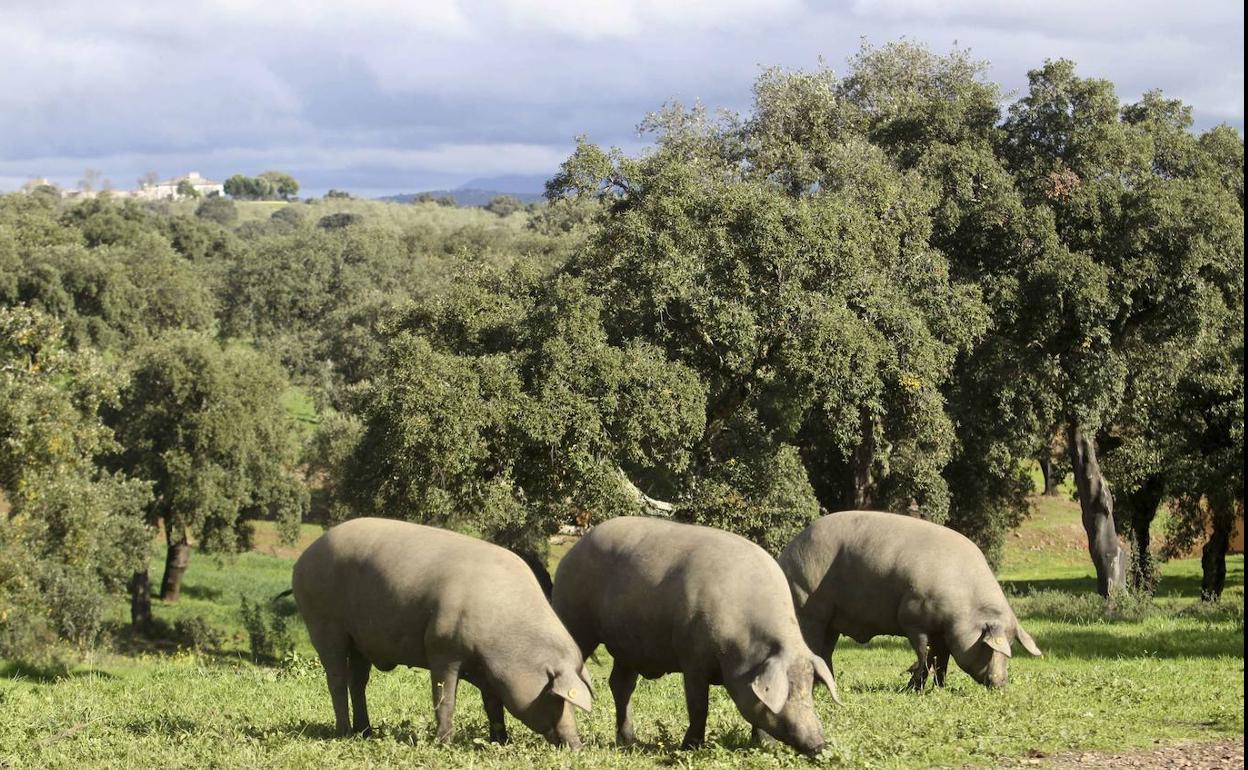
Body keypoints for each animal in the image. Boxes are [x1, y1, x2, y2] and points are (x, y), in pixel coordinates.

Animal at [289, 516, 591, 743]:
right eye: (554, 695)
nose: (576, 745)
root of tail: (302, 559)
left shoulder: (489, 671)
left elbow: (493, 704)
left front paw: (501, 741)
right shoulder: (442, 647)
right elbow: (445, 698)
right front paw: (443, 743)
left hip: (359, 639)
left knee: (358, 681)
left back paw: (365, 732)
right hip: (323, 623)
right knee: (336, 679)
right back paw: (344, 733)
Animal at [549, 514, 833, 753]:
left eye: (809, 690)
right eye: (788, 693)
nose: (820, 744)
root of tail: (573, 550)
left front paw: (765, 744)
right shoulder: (693, 658)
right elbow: (699, 707)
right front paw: (690, 747)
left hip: (626, 645)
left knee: (620, 684)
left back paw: (629, 741)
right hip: (573, 617)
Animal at [778, 514, 1043, 688]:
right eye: (989, 647)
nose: (1002, 684)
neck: (965, 607)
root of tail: (784, 555)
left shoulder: (943, 632)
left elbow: (942, 660)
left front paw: (940, 688)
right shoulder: (913, 618)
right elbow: (924, 657)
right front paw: (913, 689)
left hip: (832, 620)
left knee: (826, 650)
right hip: (808, 607)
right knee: (812, 645)